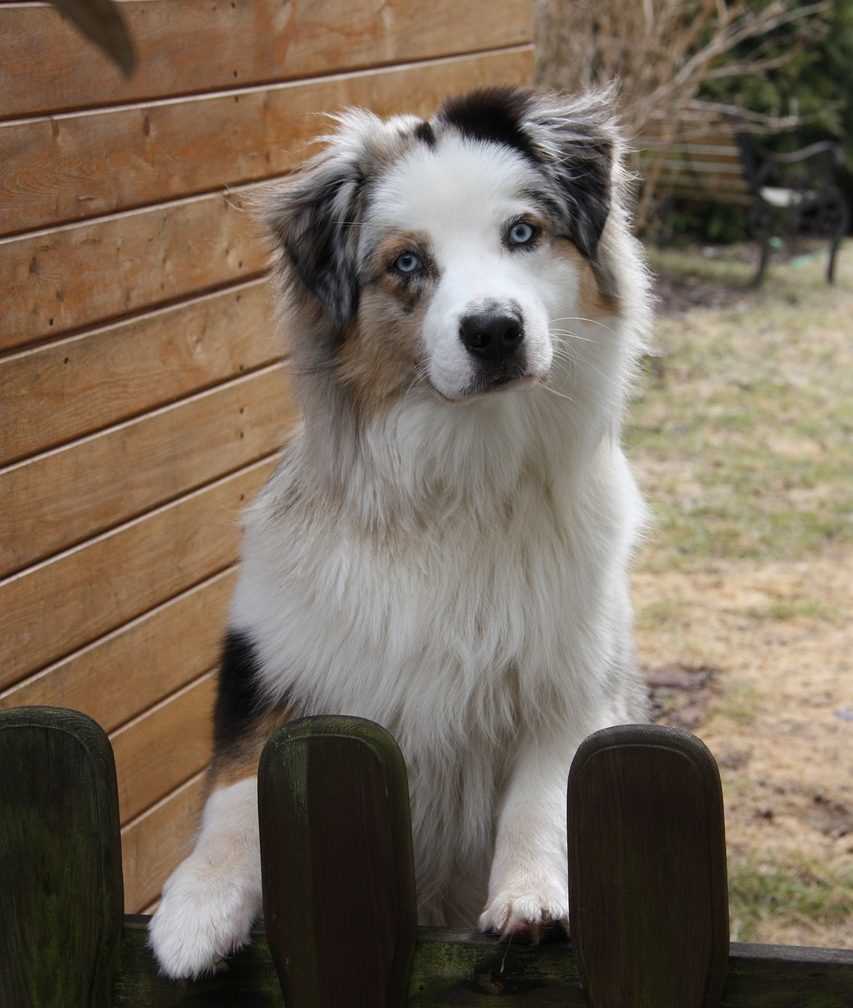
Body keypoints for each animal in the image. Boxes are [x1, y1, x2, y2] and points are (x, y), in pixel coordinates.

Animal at [150, 82, 649, 979]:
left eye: (522, 233)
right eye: (407, 264)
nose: (493, 330)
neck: (462, 482)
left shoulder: (577, 677)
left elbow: (543, 796)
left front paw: (530, 895)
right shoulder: (270, 655)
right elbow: (237, 788)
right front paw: (194, 909)